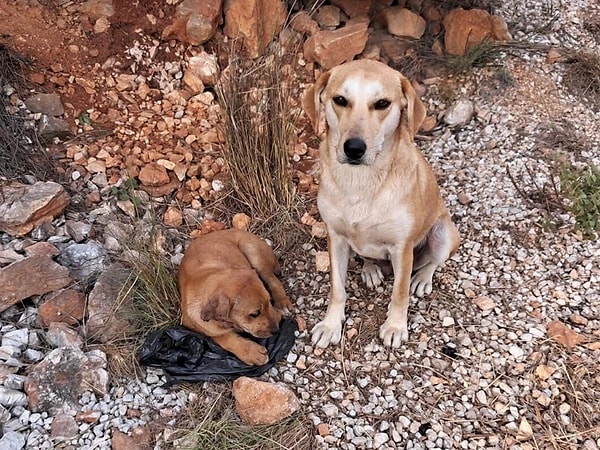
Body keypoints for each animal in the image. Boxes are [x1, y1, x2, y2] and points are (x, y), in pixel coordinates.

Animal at [177, 229, 292, 366]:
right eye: (255, 313)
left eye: (269, 301)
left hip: (253, 252)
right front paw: (252, 353)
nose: (276, 330)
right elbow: (222, 336)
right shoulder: (195, 325)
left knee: (273, 280)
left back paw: (282, 303)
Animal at [302, 59, 462, 348]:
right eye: (340, 100)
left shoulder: (402, 247)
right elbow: (337, 288)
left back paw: (421, 279)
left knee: (433, 262)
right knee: (366, 257)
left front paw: (395, 326)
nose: (354, 148)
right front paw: (331, 325)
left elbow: (399, 292)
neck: (361, 182)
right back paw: (371, 270)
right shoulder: (336, 238)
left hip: (444, 234)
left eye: (382, 103)